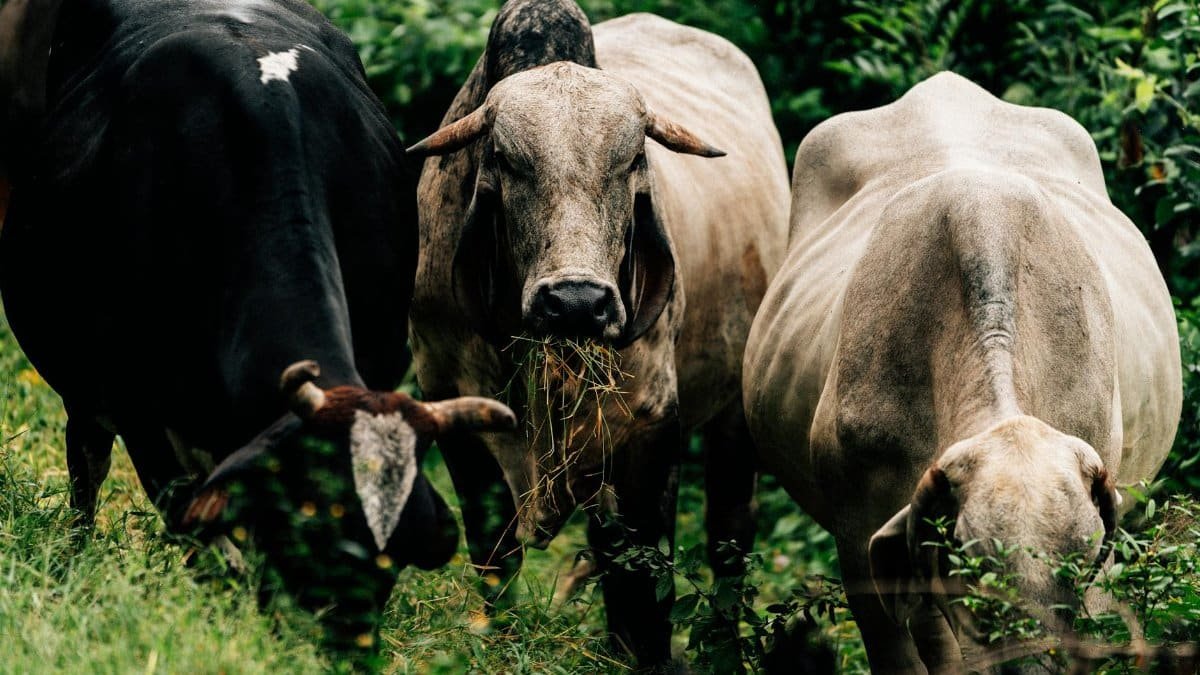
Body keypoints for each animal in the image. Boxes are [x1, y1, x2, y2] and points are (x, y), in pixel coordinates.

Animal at [0, 0, 516, 649]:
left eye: (390, 560)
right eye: (306, 531)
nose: (349, 651)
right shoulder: (137, 407)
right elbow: (192, 521)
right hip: (85, 384)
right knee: (86, 464)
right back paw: (75, 556)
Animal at [406, 0, 789, 666]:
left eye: (633, 161)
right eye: (504, 160)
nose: (576, 304)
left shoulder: (649, 420)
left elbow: (643, 572)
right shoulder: (447, 395)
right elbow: (496, 551)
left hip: (736, 416)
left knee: (728, 537)